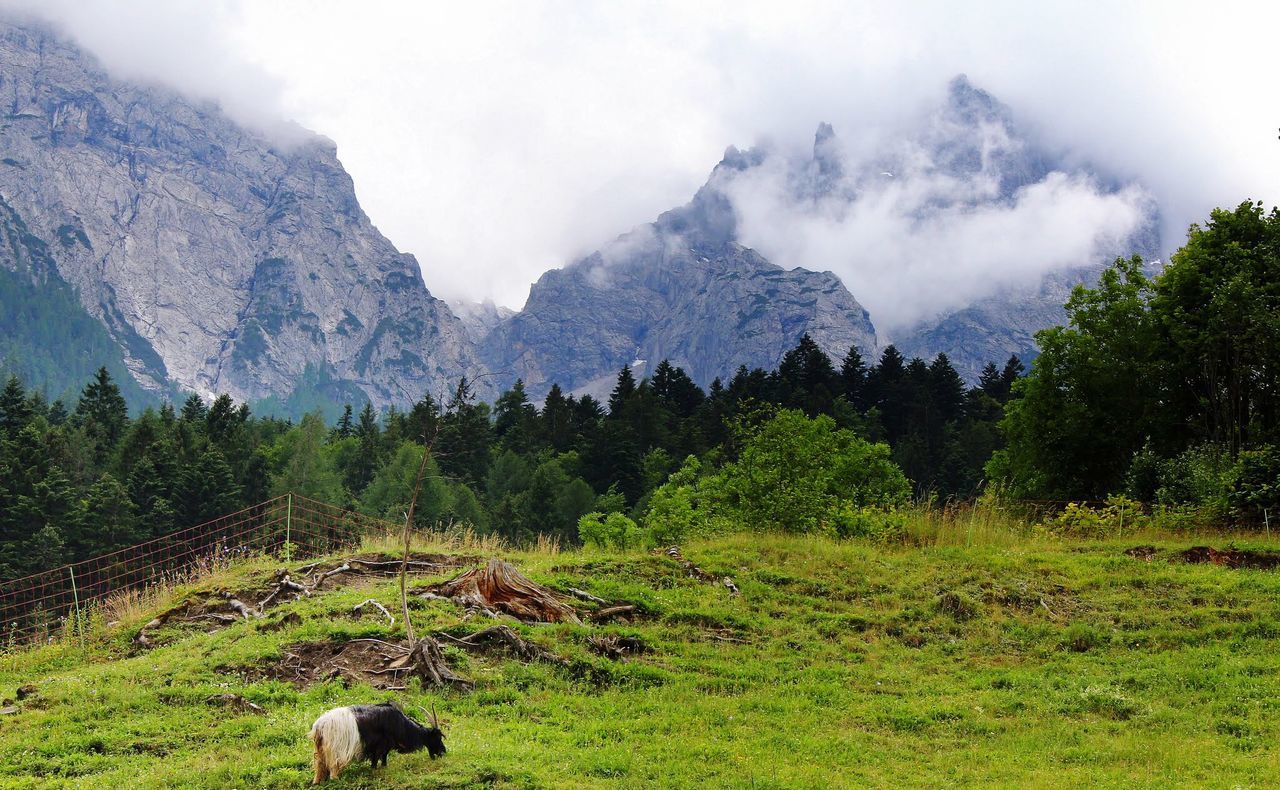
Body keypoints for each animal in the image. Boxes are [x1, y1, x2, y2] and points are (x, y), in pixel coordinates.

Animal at [307, 701, 448, 778]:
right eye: (438, 737)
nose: (443, 752)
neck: (400, 724)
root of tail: (319, 726)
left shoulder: (383, 747)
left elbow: (383, 759)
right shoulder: (381, 746)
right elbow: (377, 761)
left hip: (320, 751)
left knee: (319, 767)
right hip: (334, 751)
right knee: (333, 770)